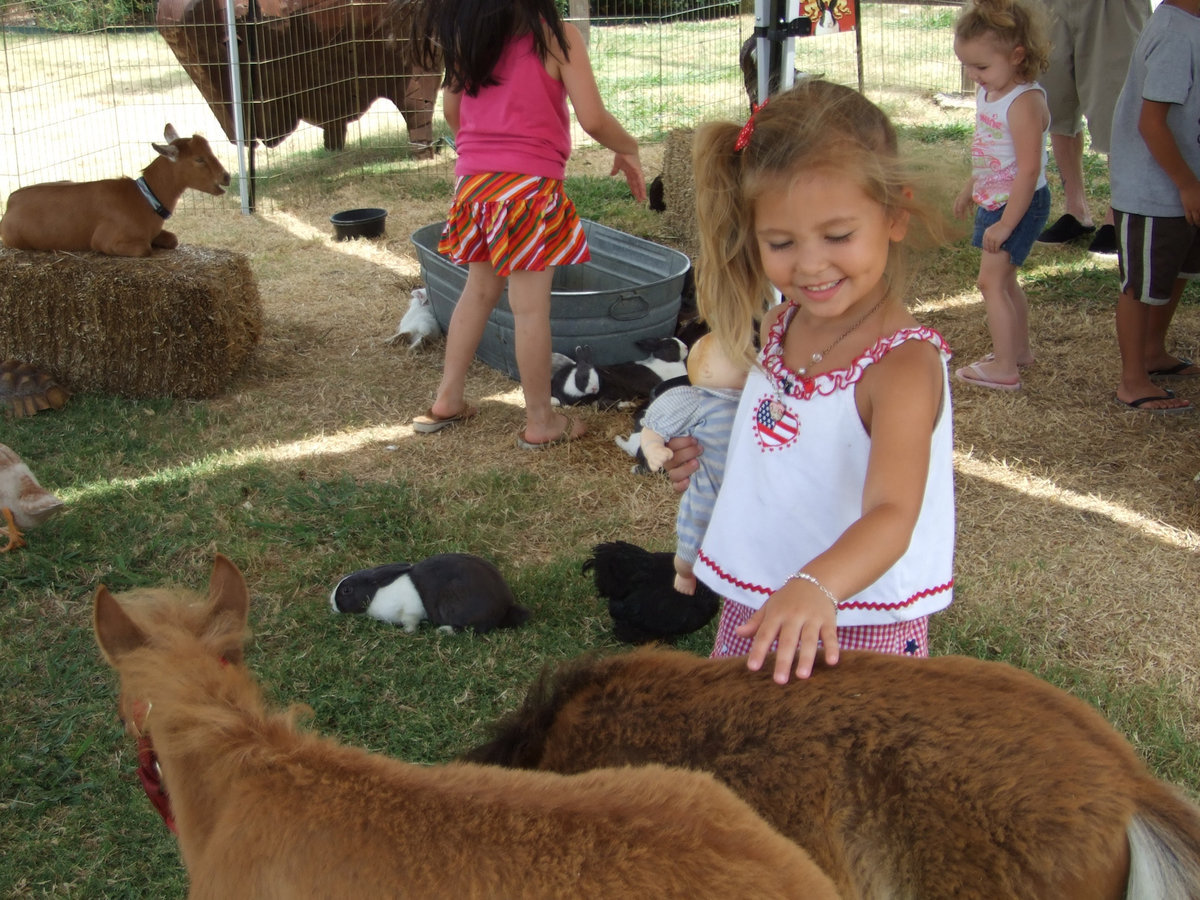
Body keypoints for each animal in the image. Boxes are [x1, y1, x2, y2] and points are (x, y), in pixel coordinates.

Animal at [1, 124, 226, 256]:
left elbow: (173, 239)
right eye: (199, 159)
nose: (226, 177)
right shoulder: (105, 241)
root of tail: (11, 201)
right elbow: (145, 249)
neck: (143, 199)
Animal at [331, 554, 532, 638]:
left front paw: (407, 633)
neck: (376, 593)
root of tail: (505, 608)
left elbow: (411, 623)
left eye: (347, 590)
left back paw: (443, 631)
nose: (332, 605)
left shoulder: (409, 612)